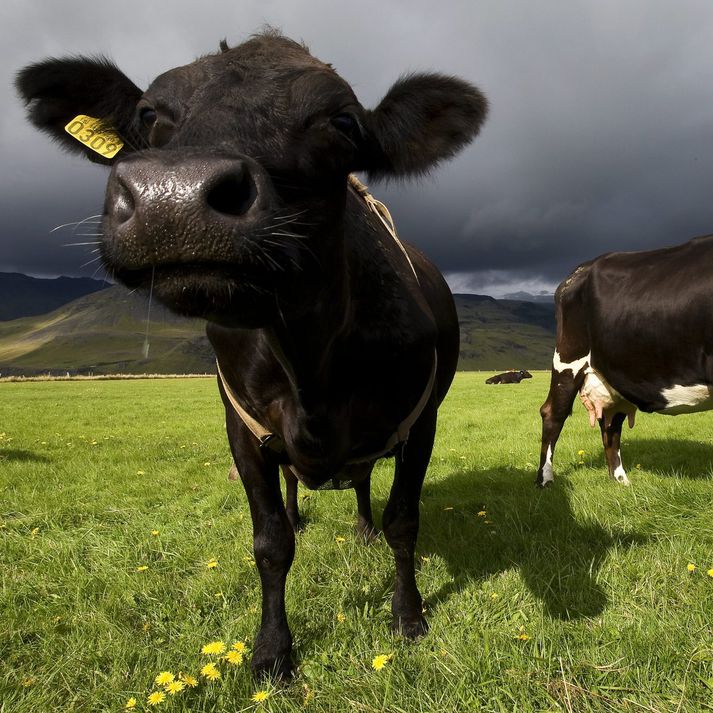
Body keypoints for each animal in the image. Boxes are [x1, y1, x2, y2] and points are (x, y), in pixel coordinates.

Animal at [16, 32, 486, 680]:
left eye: (343, 121)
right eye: (148, 115)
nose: (175, 199)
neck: (311, 364)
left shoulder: (422, 421)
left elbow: (403, 521)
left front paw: (409, 615)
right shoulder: (242, 427)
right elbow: (270, 544)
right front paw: (271, 650)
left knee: (365, 482)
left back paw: (362, 529)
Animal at [536, 236, 712, 486]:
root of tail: (579, 270)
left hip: (613, 376)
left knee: (610, 423)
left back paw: (620, 481)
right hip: (568, 359)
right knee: (553, 413)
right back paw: (545, 479)